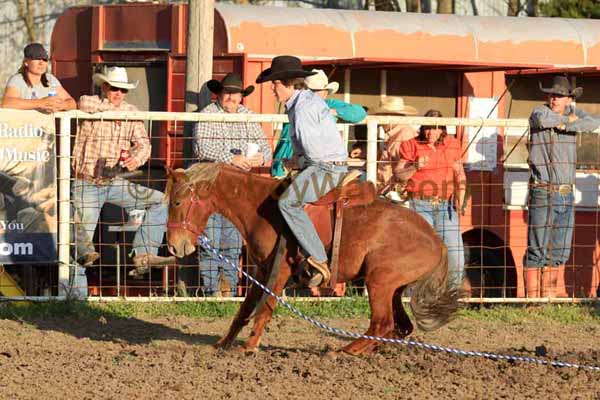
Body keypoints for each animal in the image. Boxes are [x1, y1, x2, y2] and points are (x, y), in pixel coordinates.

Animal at [166, 162, 462, 354]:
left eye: (177, 202)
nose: (173, 246)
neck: (262, 208)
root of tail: (436, 241)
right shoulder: (261, 270)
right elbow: (245, 309)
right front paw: (223, 344)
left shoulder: (280, 270)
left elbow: (265, 307)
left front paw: (249, 347)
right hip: (394, 288)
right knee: (399, 327)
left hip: (380, 281)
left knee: (383, 323)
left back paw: (345, 351)